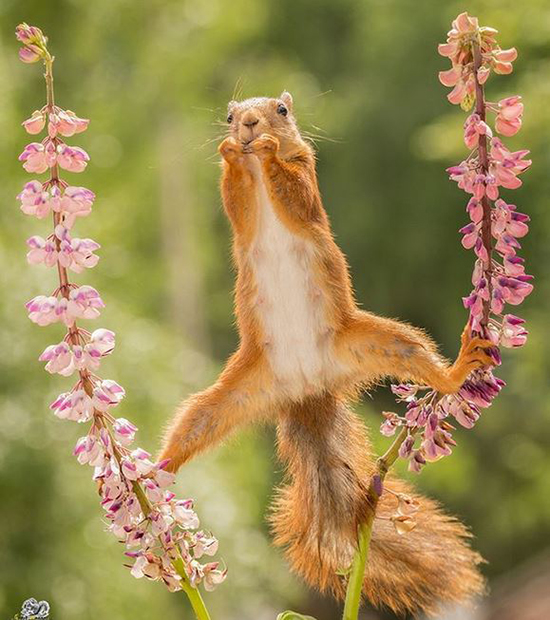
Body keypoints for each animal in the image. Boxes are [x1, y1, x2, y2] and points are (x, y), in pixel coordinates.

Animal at [158, 91, 492, 616]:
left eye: (281, 110)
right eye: (230, 115)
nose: (248, 124)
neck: (258, 173)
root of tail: (307, 390)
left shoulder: (308, 176)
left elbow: (295, 195)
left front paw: (268, 150)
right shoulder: (241, 213)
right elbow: (236, 203)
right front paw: (231, 153)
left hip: (382, 343)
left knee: (425, 363)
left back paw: (457, 370)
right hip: (228, 395)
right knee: (194, 425)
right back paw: (155, 472)